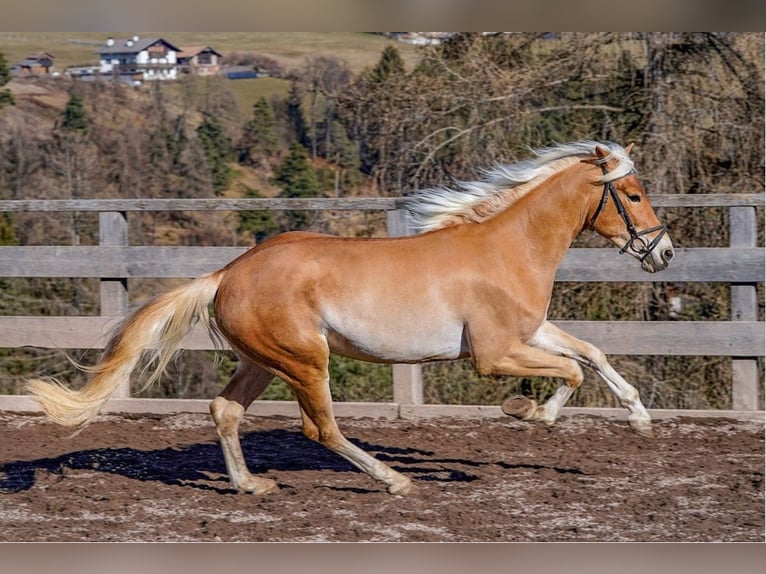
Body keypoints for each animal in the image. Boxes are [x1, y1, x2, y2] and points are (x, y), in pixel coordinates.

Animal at [25, 140, 672, 496]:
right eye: (633, 195)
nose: (663, 253)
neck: (507, 248)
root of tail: (227, 273)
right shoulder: (494, 354)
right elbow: (574, 372)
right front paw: (530, 411)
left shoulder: (528, 331)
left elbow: (592, 355)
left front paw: (640, 419)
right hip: (307, 361)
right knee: (321, 430)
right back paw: (394, 480)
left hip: (265, 362)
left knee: (225, 410)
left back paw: (251, 484)